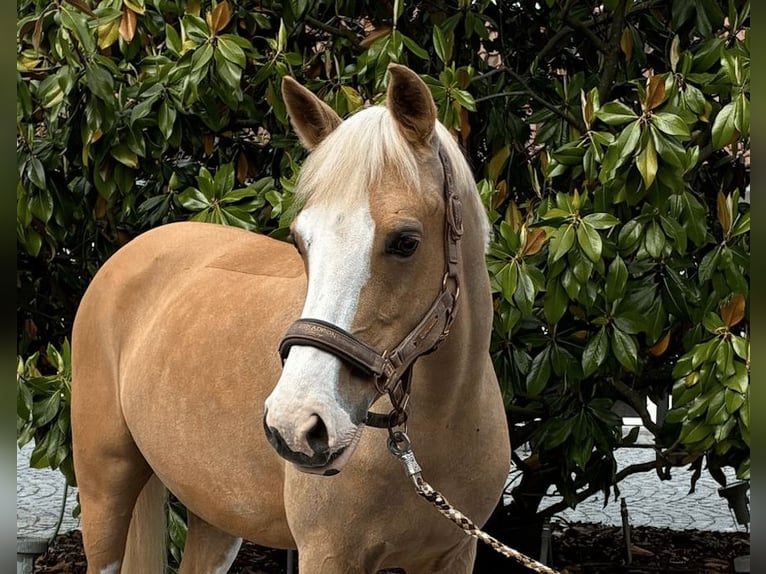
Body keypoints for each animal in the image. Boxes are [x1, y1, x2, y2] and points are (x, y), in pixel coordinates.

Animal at [71, 64, 510, 574]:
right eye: (301, 241)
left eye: (406, 241)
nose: (296, 425)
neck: (437, 432)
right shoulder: (327, 555)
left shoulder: (455, 555)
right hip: (104, 496)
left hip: (216, 513)